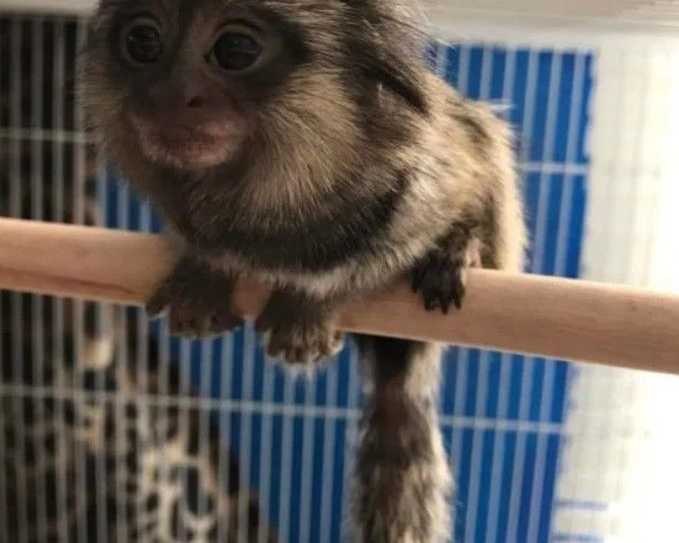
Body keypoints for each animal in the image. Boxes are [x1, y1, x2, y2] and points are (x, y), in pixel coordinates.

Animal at [79, 1, 526, 541]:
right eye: (142, 42)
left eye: (236, 49)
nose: (168, 95)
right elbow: (202, 247)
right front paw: (205, 275)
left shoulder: (425, 175)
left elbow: (383, 250)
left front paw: (310, 304)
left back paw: (456, 253)